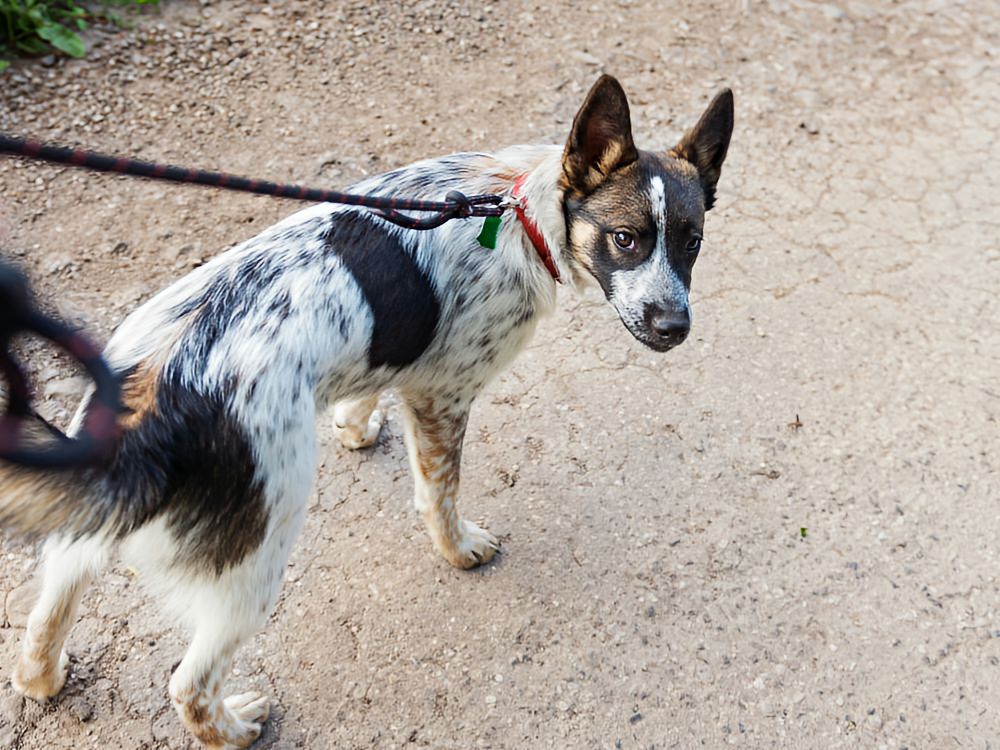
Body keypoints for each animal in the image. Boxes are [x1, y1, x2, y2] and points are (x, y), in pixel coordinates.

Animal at [0, 75, 736, 748]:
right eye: (626, 239)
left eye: (693, 243)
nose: (675, 328)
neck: (519, 211)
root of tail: (157, 407)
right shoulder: (444, 397)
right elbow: (440, 494)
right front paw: (458, 549)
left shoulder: (402, 362)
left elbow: (371, 384)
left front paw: (355, 426)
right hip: (259, 557)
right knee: (189, 684)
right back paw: (235, 728)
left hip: (88, 526)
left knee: (47, 612)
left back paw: (46, 678)